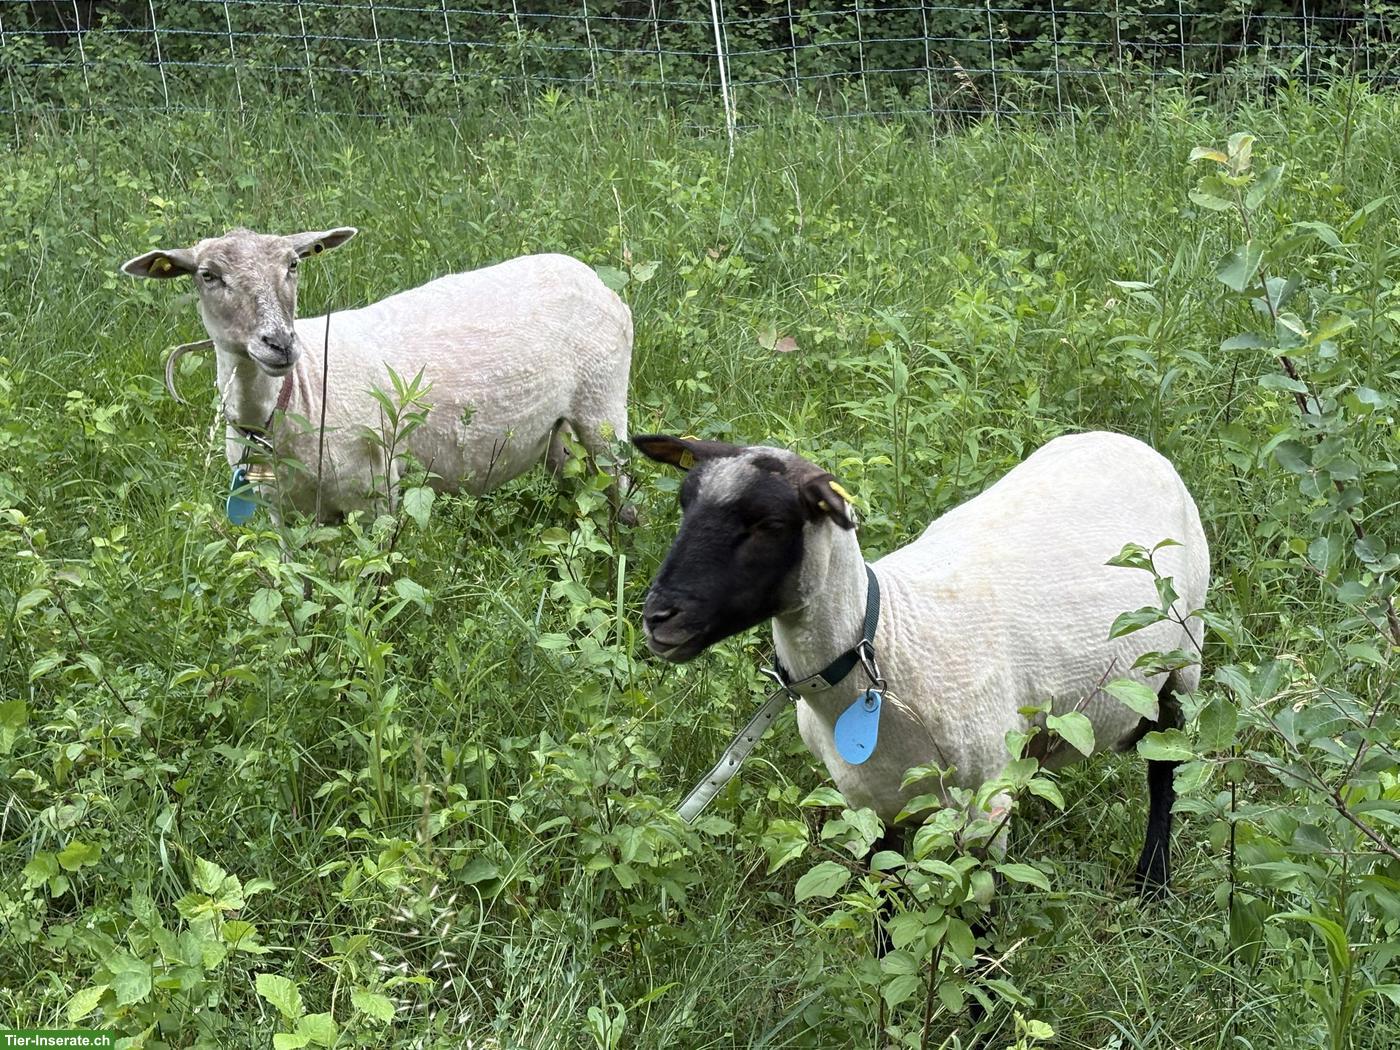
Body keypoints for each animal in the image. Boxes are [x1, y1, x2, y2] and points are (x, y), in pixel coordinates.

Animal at [121, 228, 634, 521]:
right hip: (552, 432)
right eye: (208, 275)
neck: (292, 401)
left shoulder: (376, 493)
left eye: (293, 264)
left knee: (619, 488)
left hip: (604, 405)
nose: (280, 343)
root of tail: (589, 274)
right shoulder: (280, 513)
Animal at [632, 430, 1210, 893]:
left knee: (1165, 766)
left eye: (770, 523)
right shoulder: (868, 805)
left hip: (1183, 657)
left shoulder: (983, 803)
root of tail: (1128, 441)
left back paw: (1152, 884)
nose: (658, 617)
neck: (883, 645)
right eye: (685, 505)